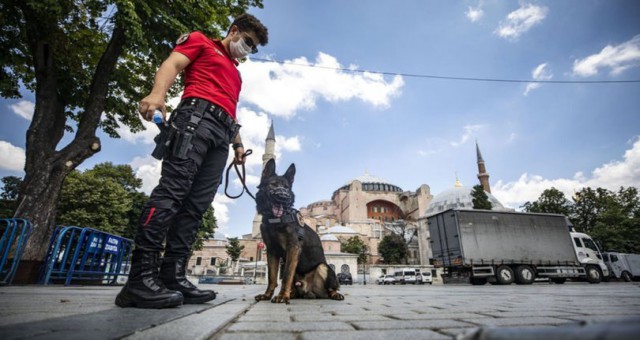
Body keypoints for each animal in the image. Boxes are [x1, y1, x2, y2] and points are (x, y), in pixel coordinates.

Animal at [255, 160, 344, 306]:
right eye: (273, 184)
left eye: (286, 187)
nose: (284, 197)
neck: (276, 220)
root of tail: (309, 291)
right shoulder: (271, 251)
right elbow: (272, 277)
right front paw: (267, 295)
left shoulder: (293, 247)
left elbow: (286, 276)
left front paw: (281, 296)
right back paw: (292, 294)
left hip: (323, 267)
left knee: (331, 288)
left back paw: (335, 294)